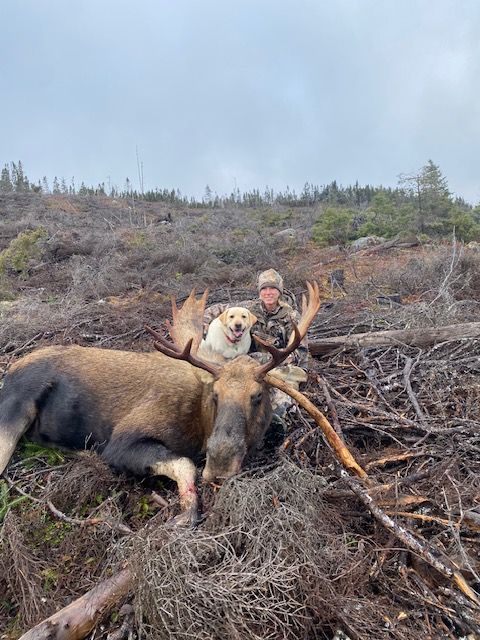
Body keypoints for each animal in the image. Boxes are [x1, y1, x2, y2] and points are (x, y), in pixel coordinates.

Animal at [0, 283, 320, 525]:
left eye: (257, 395)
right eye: (216, 394)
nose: (220, 462)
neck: (199, 423)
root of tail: (9, 369)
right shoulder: (120, 444)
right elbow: (186, 464)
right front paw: (186, 513)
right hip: (12, 415)